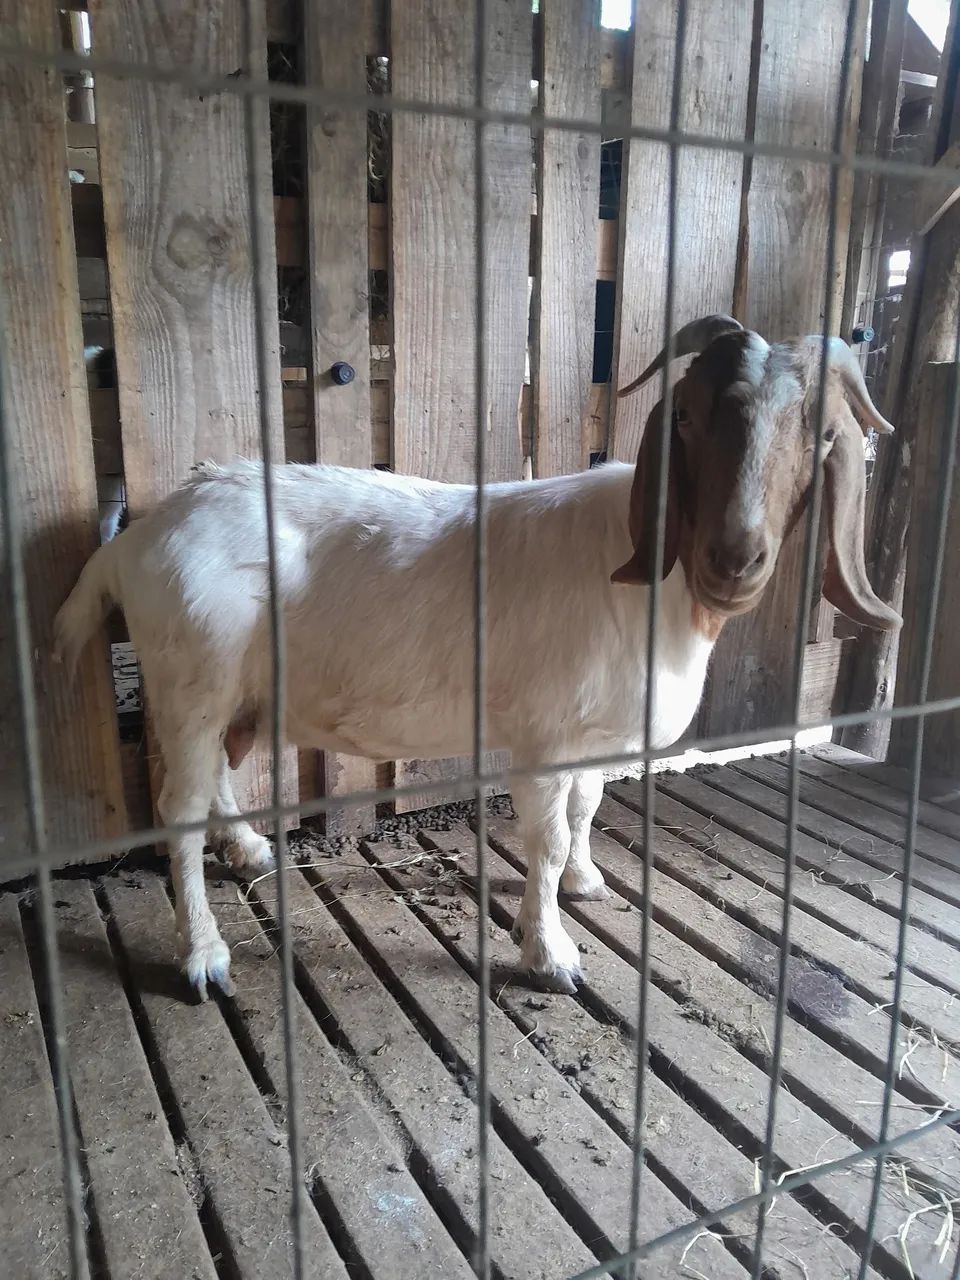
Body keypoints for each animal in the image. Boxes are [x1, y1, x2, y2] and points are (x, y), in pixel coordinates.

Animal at [54, 315, 900, 999]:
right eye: (687, 418)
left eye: (822, 436)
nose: (736, 560)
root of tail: (135, 541)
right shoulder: (544, 737)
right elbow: (546, 839)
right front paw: (550, 953)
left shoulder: (592, 735)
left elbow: (588, 809)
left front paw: (586, 882)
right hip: (188, 680)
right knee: (178, 809)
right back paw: (202, 956)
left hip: (227, 690)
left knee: (218, 778)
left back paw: (250, 846)